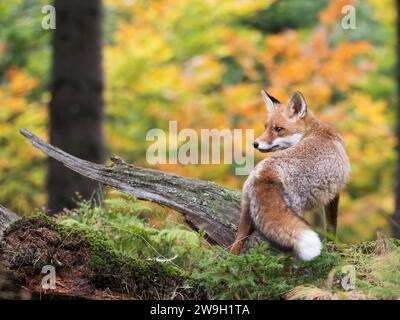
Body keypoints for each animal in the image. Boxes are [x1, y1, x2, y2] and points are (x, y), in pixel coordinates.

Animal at [231, 89, 350, 260]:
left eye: (278, 129)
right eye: (266, 127)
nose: (255, 144)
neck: (315, 131)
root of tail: (266, 171)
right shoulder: (334, 194)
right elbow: (331, 228)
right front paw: (333, 250)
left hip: (247, 217)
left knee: (235, 246)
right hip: (295, 215)